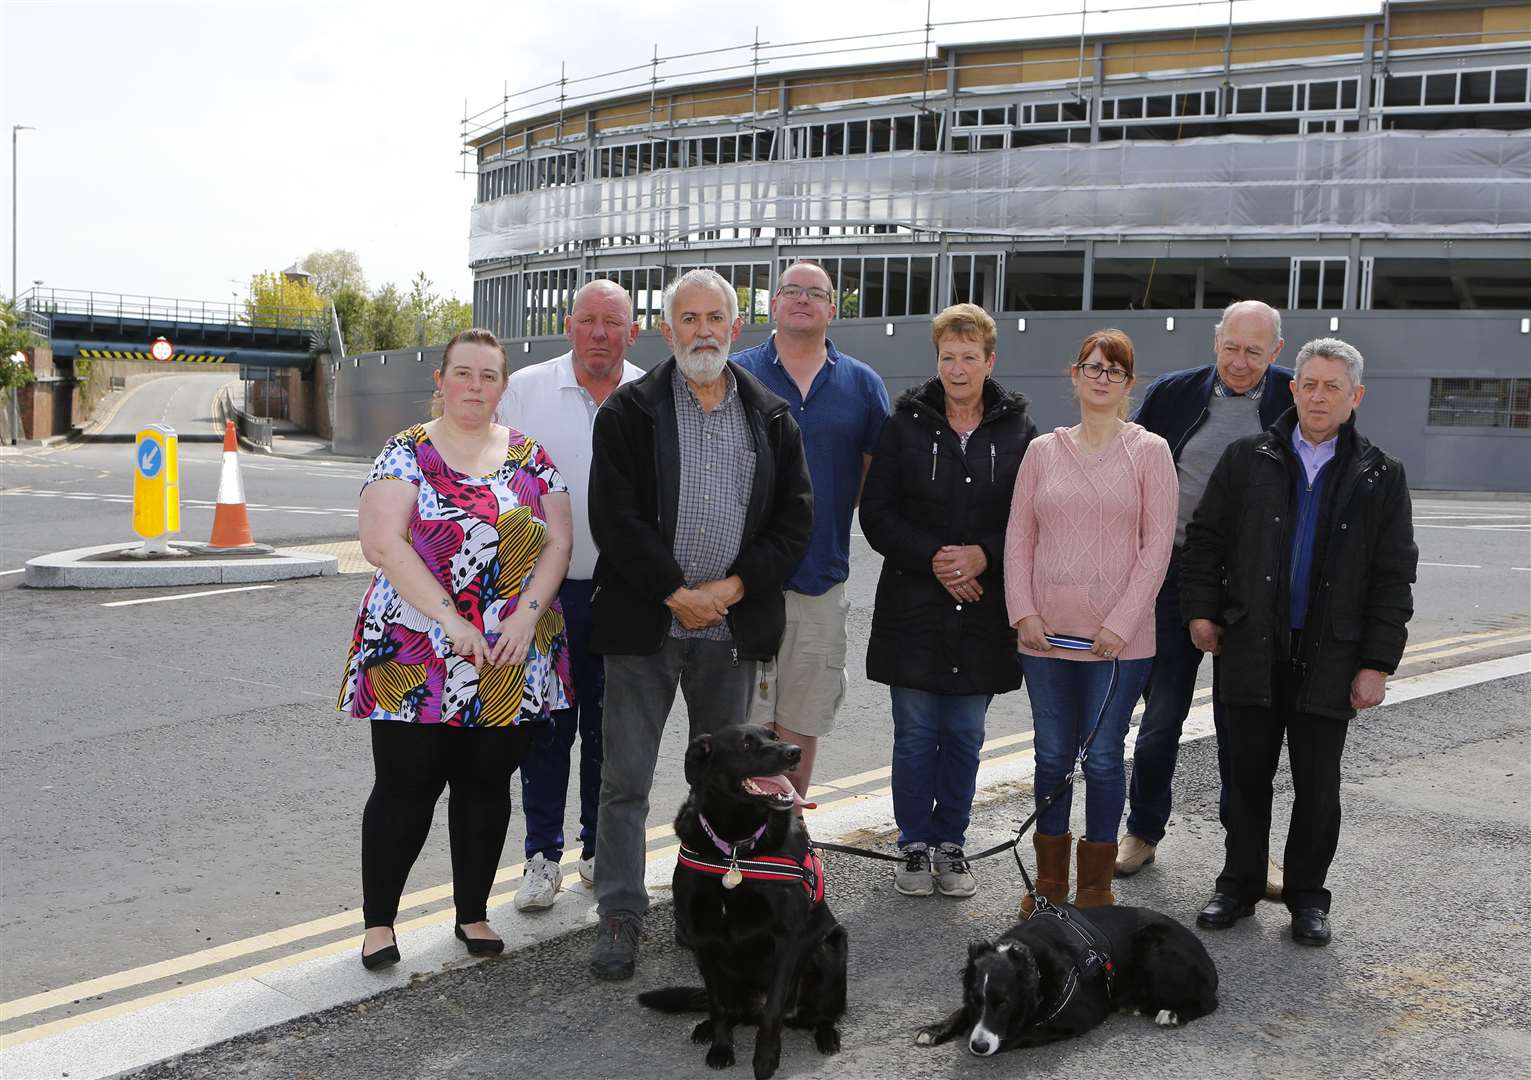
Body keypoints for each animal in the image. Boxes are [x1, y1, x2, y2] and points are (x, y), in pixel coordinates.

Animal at [636, 723, 851, 1078]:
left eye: (775, 737)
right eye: (746, 745)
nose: (794, 752)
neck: (736, 847)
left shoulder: (787, 939)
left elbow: (772, 1010)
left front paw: (765, 1060)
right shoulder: (704, 939)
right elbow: (718, 1006)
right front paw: (721, 1047)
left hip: (829, 949)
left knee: (818, 1015)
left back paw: (825, 1034)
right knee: (729, 1009)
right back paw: (707, 1028)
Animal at [906, 900, 1218, 1053]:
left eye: (1004, 1002)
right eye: (976, 999)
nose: (979, 1046)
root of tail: (1206, 958)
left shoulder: (1083, 1015)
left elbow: (1026, 1032)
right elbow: (960, 1011)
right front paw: (936, 1029)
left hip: (1154, 946)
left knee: (1207, 1002)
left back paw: (1172, 1014)